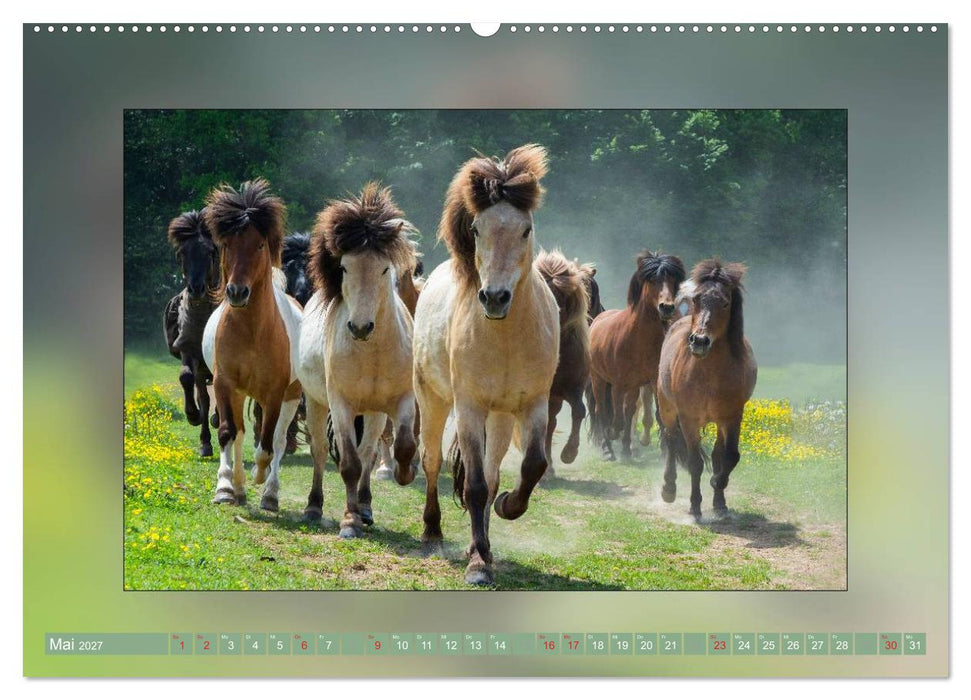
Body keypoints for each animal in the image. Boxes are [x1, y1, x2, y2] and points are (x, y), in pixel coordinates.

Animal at [201, 178, 303, 512]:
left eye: (259, 245)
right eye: (227, 245)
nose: (236, 292)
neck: (252, 332)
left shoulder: (274, 394)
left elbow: (268, 446)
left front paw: (261, 478)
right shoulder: (224, 384)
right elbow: (227, 434)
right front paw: (224, 488)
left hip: (291, 396)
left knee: (279, 440)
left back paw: (269, 493)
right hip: (238, 392)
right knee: (241, 434)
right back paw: (240, 488)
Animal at [297, 183, 419, 536]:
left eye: (384, 268)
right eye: (345, 267)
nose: (361, 327)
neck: (372, 353)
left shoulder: (402, 400)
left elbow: (402, 446)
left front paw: (404, 474)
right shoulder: (341, 405)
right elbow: (349, 464)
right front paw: (349, 521)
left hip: (375, 412)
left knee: (368, 452)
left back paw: (365, 506)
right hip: (316, 402)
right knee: (320, 451)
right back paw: (314, 507)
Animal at [413, 144, 559, 586]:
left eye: (526, 230)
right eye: (477, 230)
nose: (494, 298)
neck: (507, 338)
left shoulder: (533, 405)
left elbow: (531, 465)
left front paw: (508, 507)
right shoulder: (469, 407)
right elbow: (475, 487)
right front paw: (477, 564)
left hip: (500, 417)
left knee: (494, 474)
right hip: (434, 401)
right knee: (431, 462)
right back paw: (432, 532)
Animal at [588, 250, 686, 461]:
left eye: (673, 280)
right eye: (653, 280)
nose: (667, 307)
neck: (637, 338)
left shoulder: (653, 382)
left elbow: (654, 415)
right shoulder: (618, 384)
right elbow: (616, 418)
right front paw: (613, 435)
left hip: (632, 386)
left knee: (629, 410)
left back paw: (625, 449)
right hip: (598, 379)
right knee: (602, 410)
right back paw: (608, 448)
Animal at [656, 259, 757, 519]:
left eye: (725, 302)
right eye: (697, 299)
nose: (699, 341)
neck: (710, 374)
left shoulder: (732, 417)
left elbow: (729, 456)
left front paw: (717, 488)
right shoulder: (689, 419)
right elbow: (695, 463)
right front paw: (694, 506)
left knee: (717, 453)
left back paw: (718, 501)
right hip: (667, 408)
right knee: (671, 441)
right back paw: (668, 489)